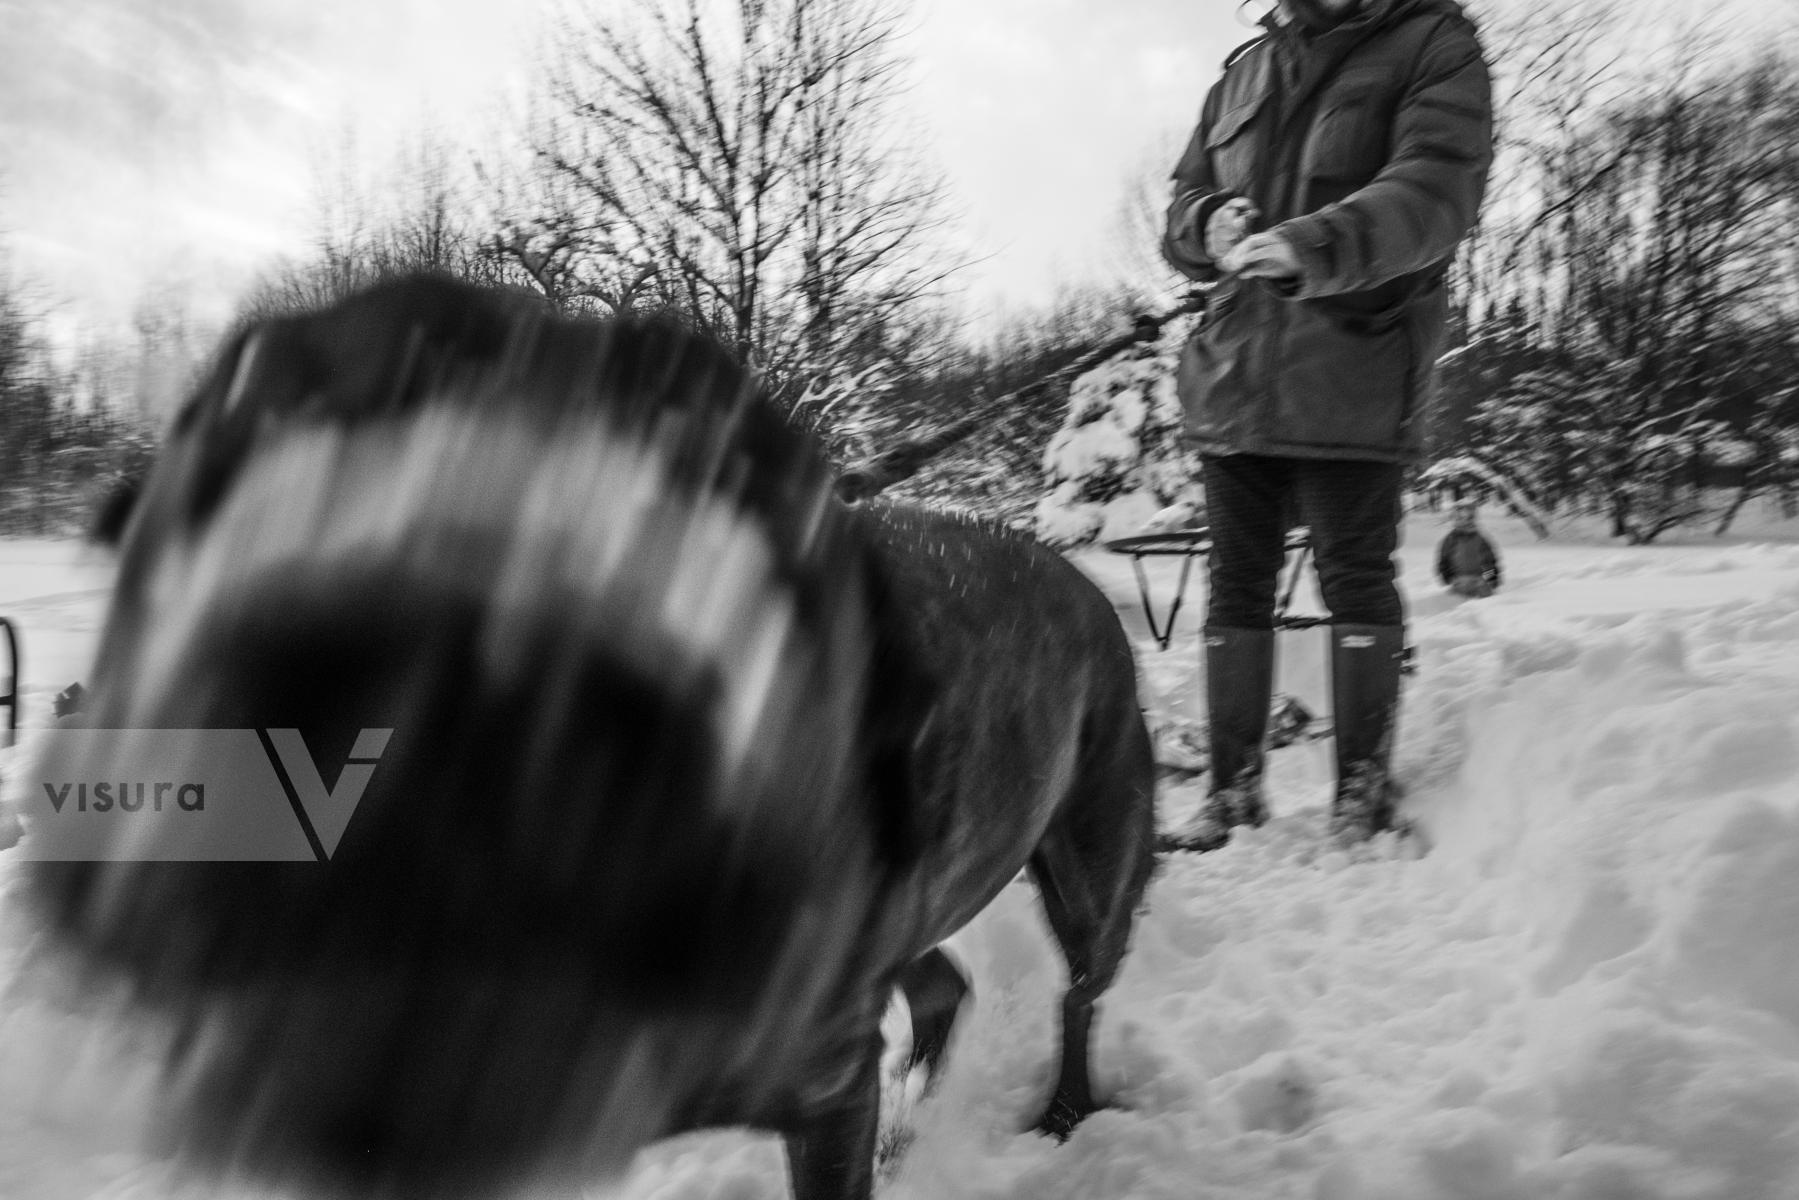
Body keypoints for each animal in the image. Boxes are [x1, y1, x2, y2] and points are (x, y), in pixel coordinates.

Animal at [28, 277, 1158, 1200]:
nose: (433, 658)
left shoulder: (823, 1083)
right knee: (943, 981)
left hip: (1090, 864)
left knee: (1080, 989)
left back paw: (1064, 1110)